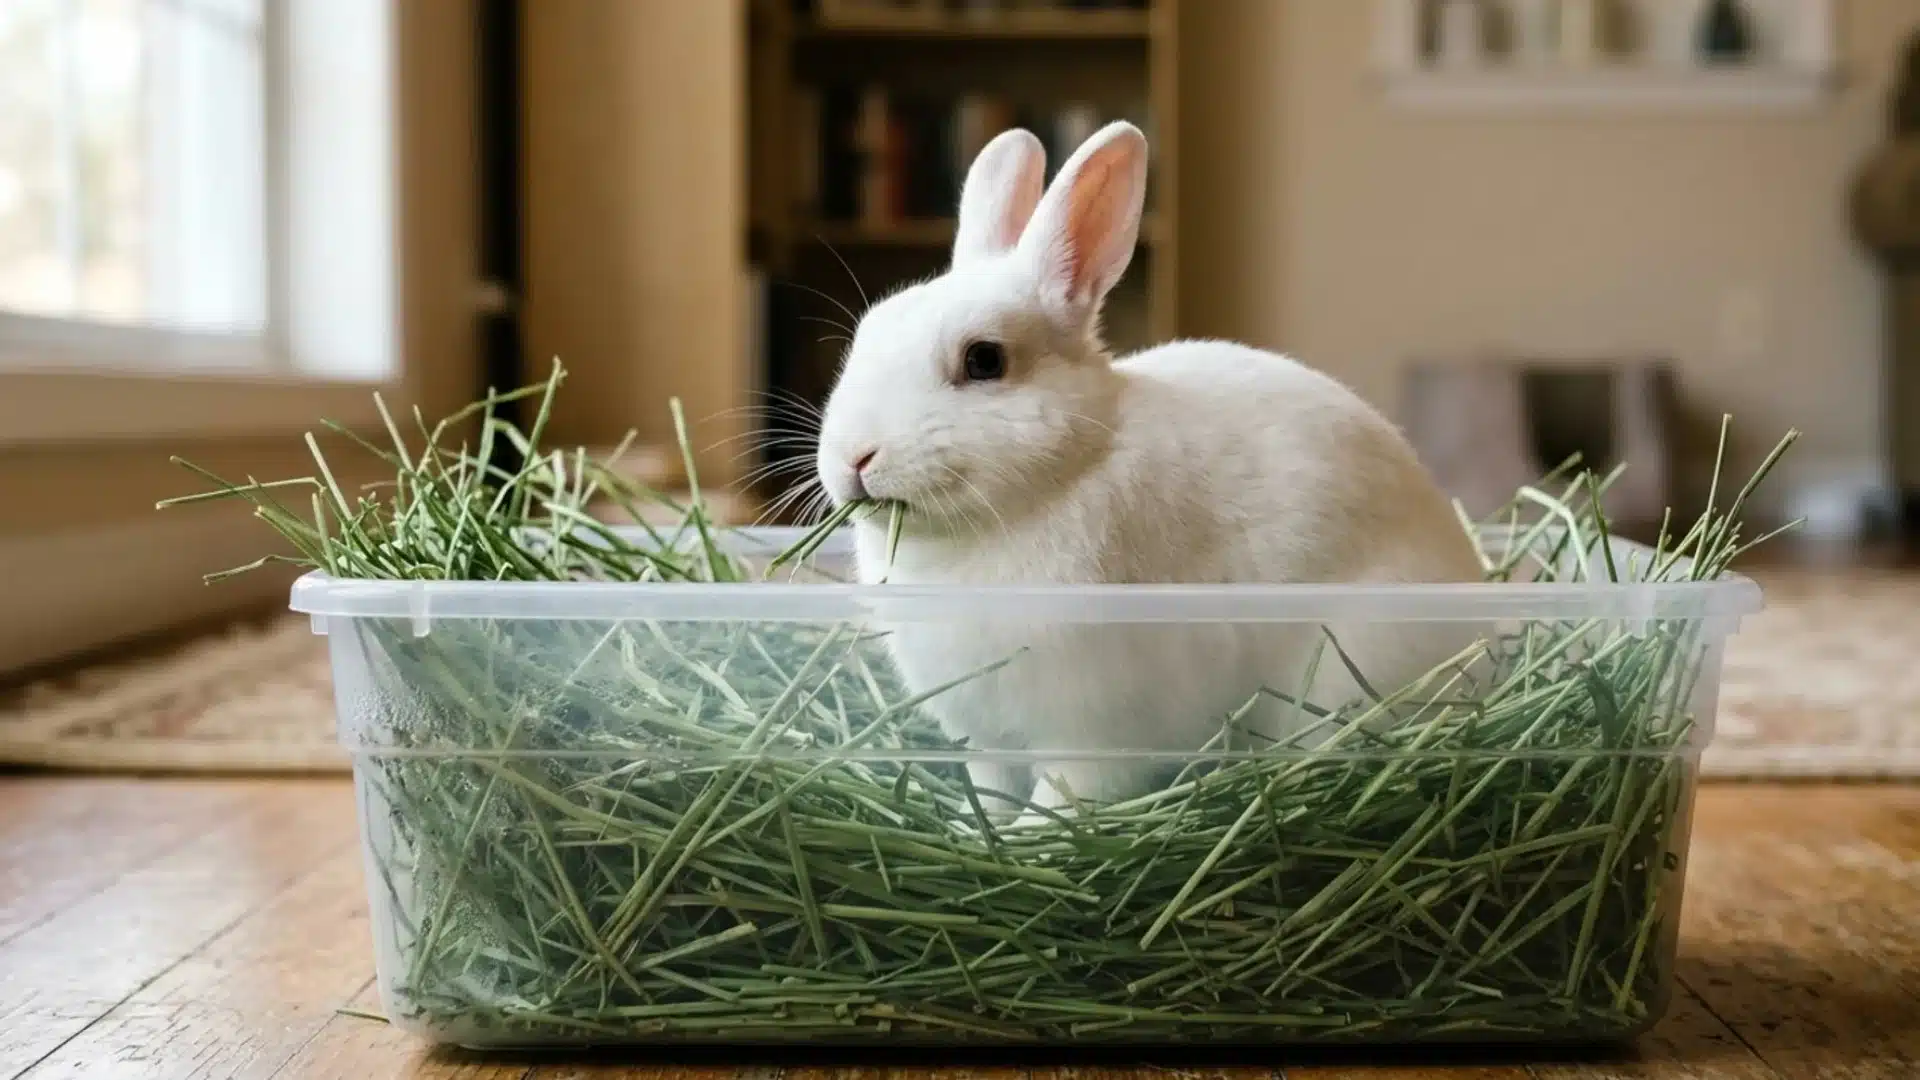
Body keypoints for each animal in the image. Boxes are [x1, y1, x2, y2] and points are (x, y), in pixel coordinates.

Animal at [814, 122, 1486, 826]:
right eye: (866, 333)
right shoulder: (985, 736)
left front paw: (1027, 837)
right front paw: (976, 831)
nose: (853, 458)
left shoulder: (1090, 735)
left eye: (984, 360)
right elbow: (991, 789)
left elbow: (1058, 800)